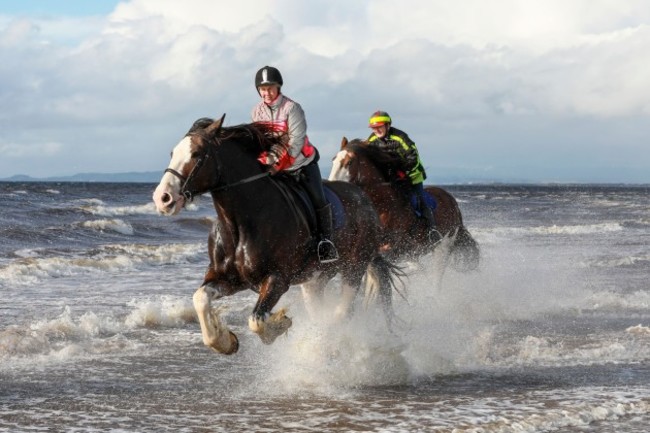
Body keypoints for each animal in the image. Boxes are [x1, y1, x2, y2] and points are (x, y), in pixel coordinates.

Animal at [153, 115, 400, 354]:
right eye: (173, 153)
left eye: (197, 154)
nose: (162, 198)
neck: (239, 225)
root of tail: (365, 199)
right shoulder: (228, 279)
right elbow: (200, 299)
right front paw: (225, 342)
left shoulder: (277, 279)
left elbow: (256, 320)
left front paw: (279, 324)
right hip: (316, 279)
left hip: (354, 267)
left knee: (342, 313)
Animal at [330, 137, 476, 270]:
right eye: (334, 160)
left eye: (349, 162)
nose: (332, 185)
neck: (382, 205)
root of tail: (451, 201)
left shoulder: (396, 247)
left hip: (444, 244)